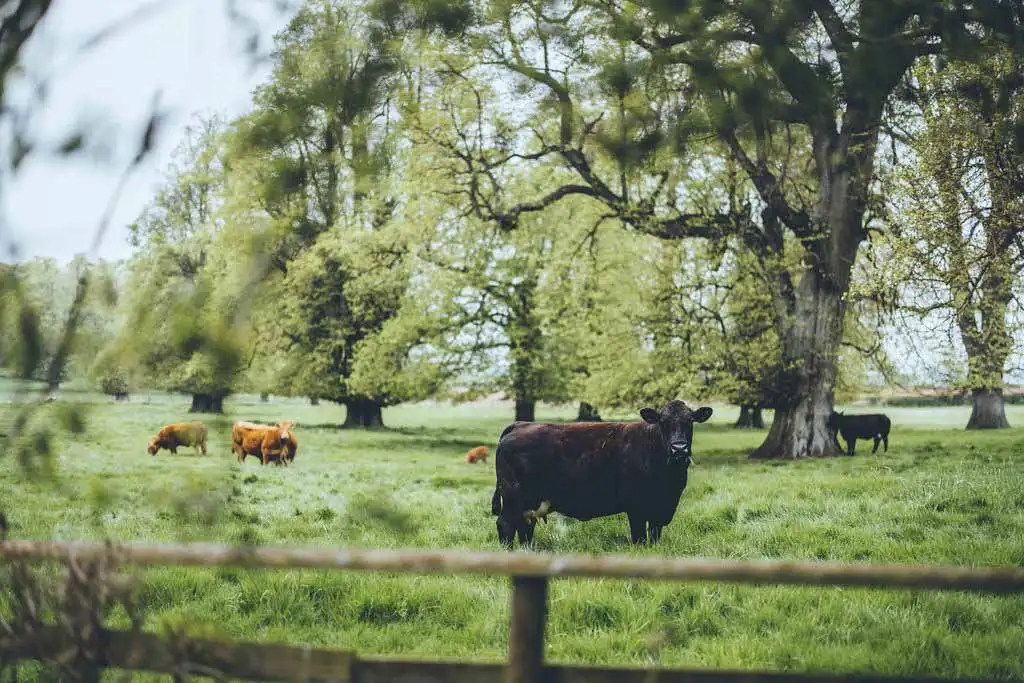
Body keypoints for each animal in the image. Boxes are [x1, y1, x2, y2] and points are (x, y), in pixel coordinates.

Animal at [490, 399, 713, 549]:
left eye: (690, 421)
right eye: (663, 422)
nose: (679, 449)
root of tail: (520, 424)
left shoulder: (660, 509)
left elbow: (654, 535)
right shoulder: (636, 507)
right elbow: (640, 537)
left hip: (528, 503)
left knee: (524, 527)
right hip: (513, 496)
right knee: (505, 525)